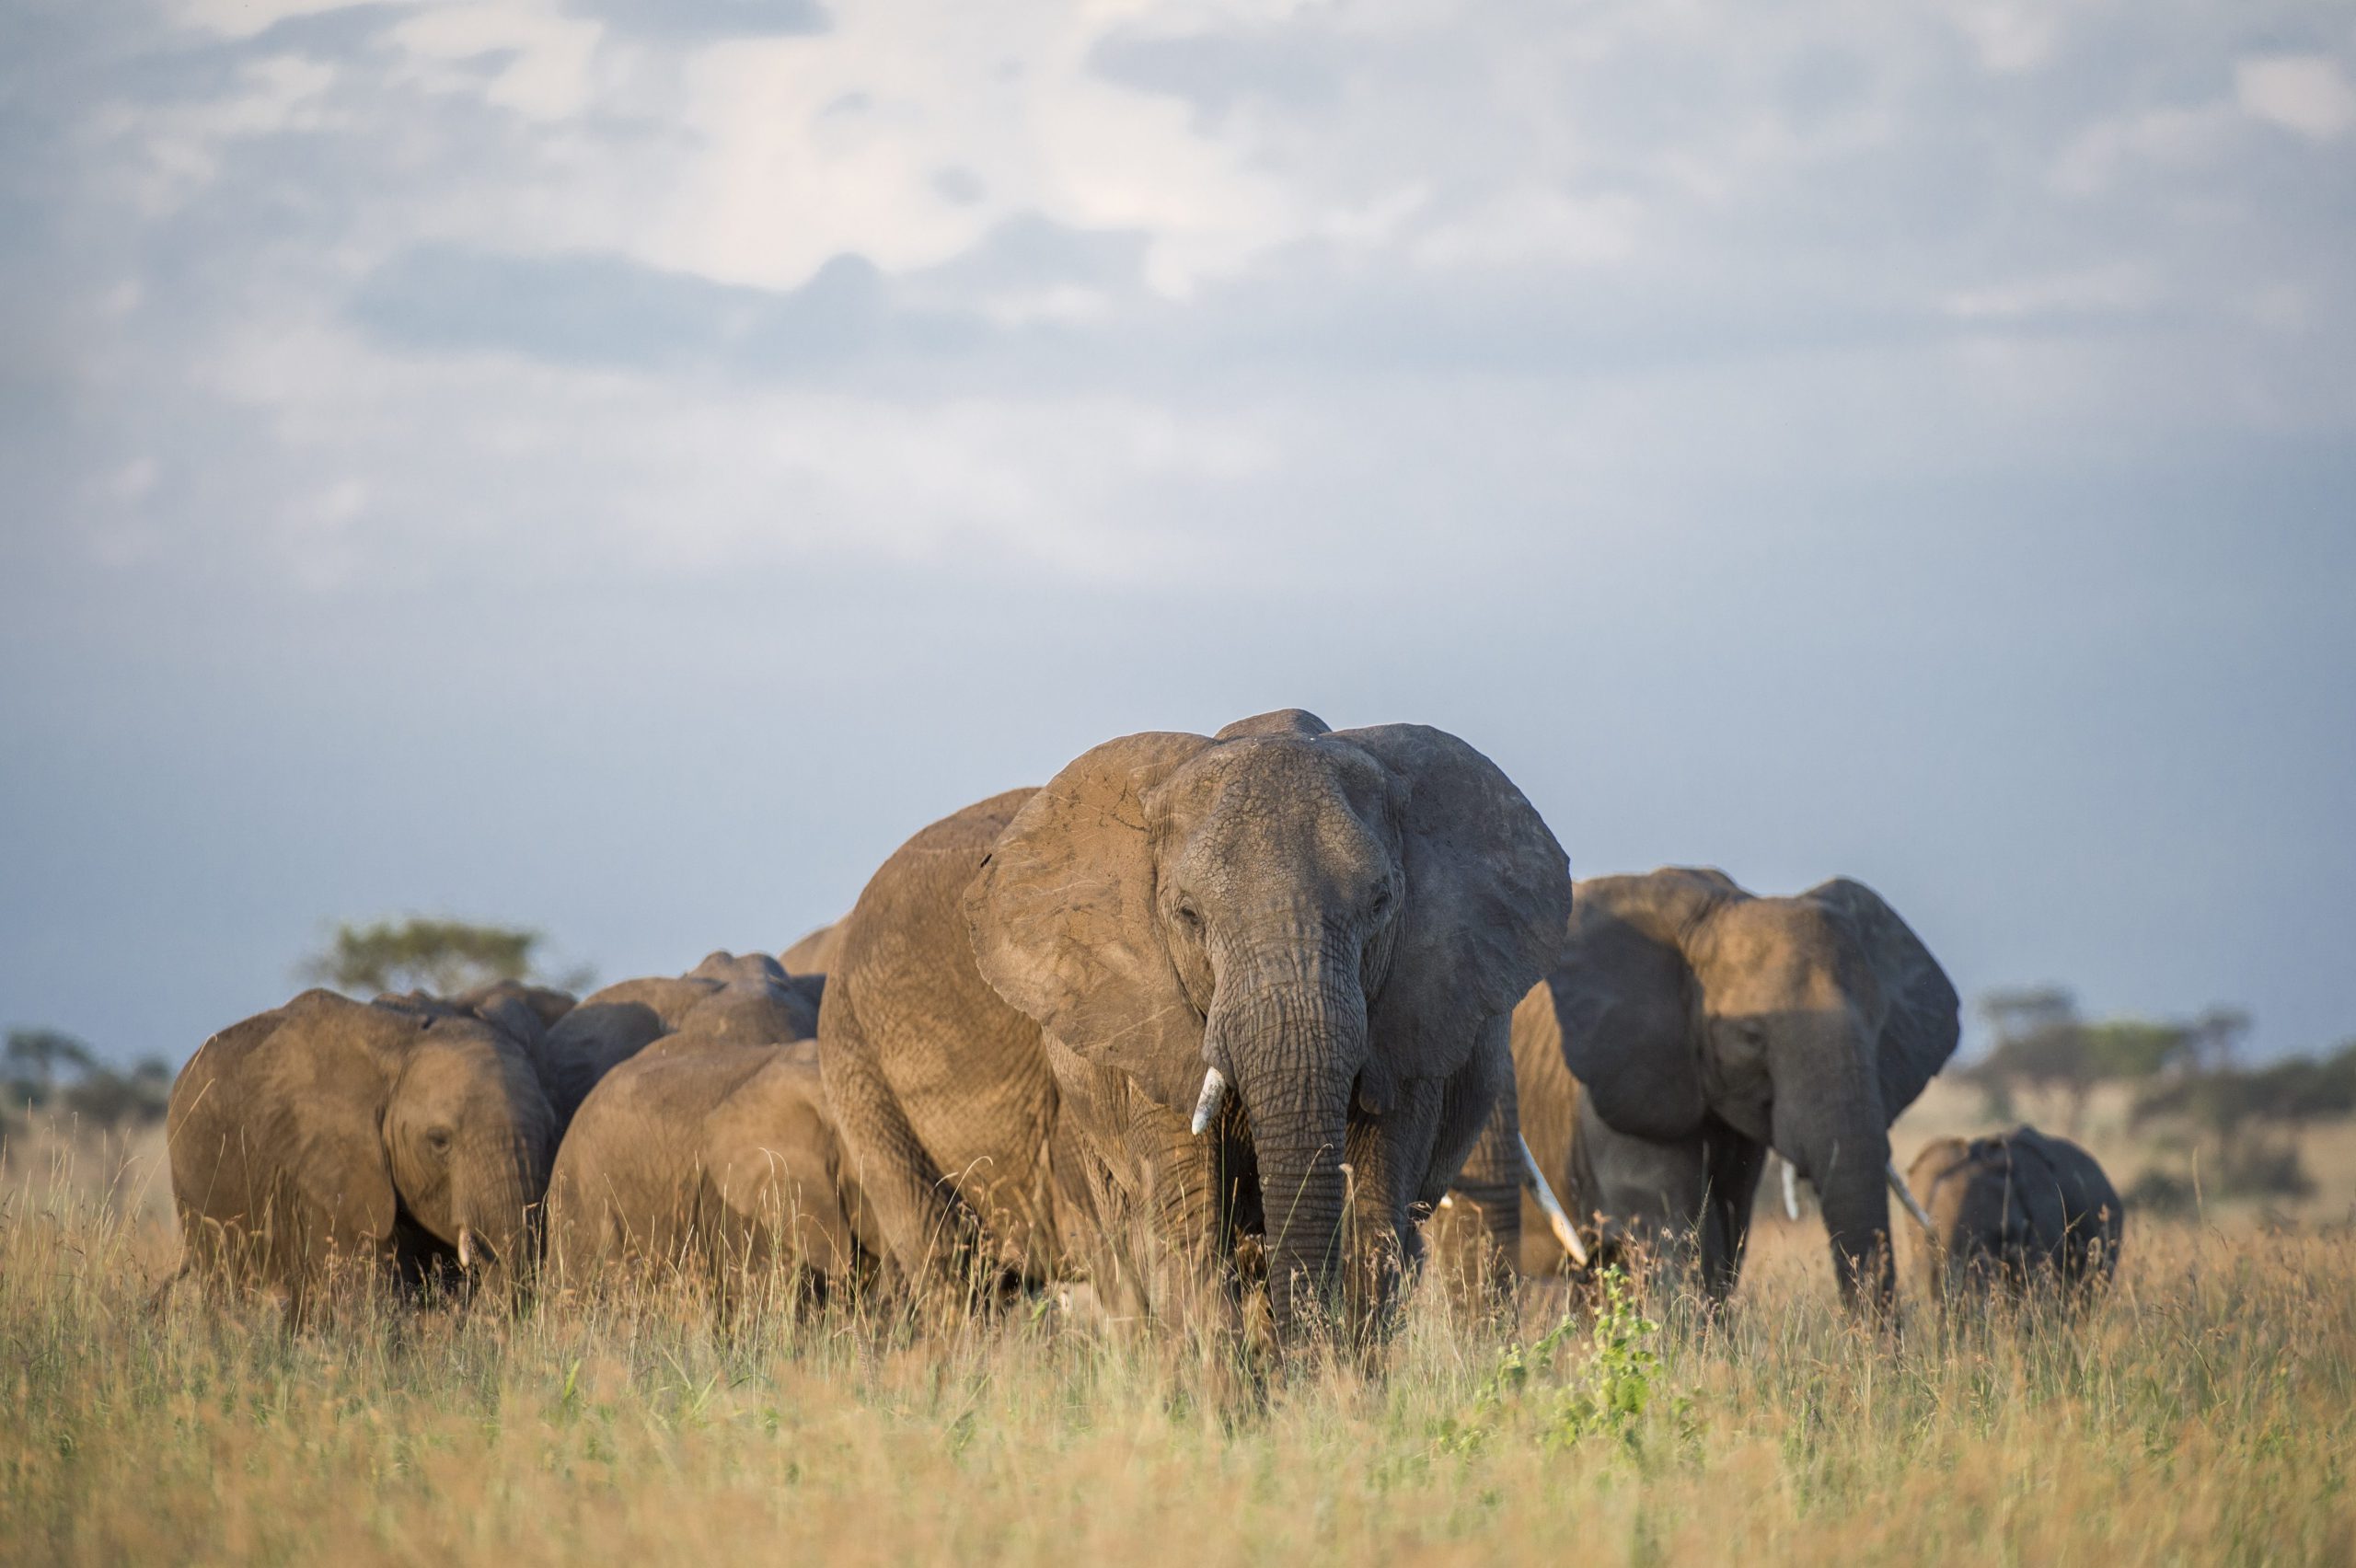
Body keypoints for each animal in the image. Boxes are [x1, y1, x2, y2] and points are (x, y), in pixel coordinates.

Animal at [819, 715, 1574, 1328]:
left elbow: (1372, 1225)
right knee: (952, 1271)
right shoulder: (1141, 1032)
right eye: (1187, 915)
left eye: (1382, 903)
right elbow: (1188, 1230)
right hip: (857, 1062)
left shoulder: (1409, 1024)